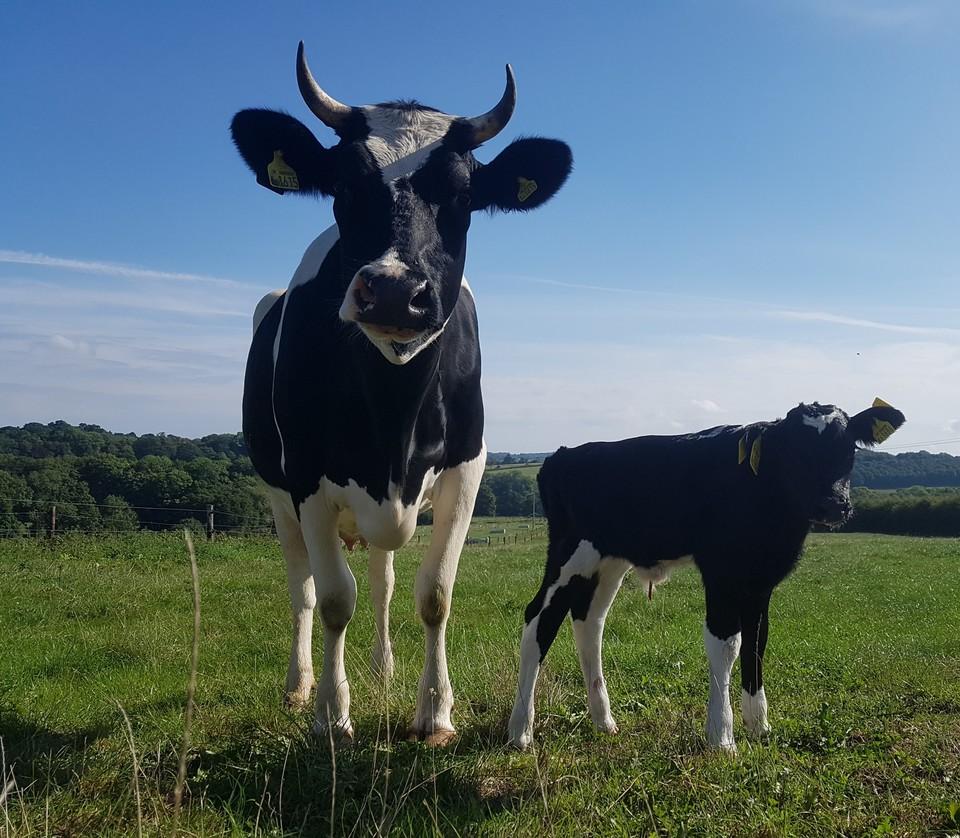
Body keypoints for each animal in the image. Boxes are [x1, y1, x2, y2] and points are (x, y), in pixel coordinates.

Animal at [231, 43, 572, 745]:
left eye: (464, 196)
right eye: (342, 188)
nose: (392, 290)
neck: (393, 417)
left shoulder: (468, 464)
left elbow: (433, 593)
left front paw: (434, 710)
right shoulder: (306, 477)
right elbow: (335, 599)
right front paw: (333, 715)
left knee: (384, 579)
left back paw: (384, 667)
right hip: (277, 495)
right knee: (303, 588)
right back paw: (300, 684)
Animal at [508, 399, 905, 753]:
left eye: (848, 446)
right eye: (794, 451)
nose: (833, 505)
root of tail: (564, 454)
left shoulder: (761, 582)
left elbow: (757, 642)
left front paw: (758, 726)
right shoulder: (721, 573)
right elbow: (727, 645)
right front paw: (722, 737)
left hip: (607, 563)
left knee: (590, 624)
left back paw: (603, 721)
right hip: (568, 554)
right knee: (538, 621)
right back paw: (520, 731)